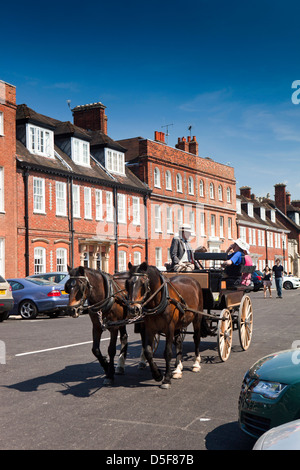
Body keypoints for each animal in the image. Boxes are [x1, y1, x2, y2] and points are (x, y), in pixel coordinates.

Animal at [125, 260, 205, 390]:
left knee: (196, 338)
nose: (133, 309)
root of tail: (191, 279)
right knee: (179, 342)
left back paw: (196, 363)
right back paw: (177, 369)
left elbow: (167, 352)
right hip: (178, 325)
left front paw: (166, 379)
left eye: (143, 283)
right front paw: (157, 374)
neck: (157, 301)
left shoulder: (169, 328)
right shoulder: (150, 329)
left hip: (197, 318)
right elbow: (148, 351)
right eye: (127, 283)